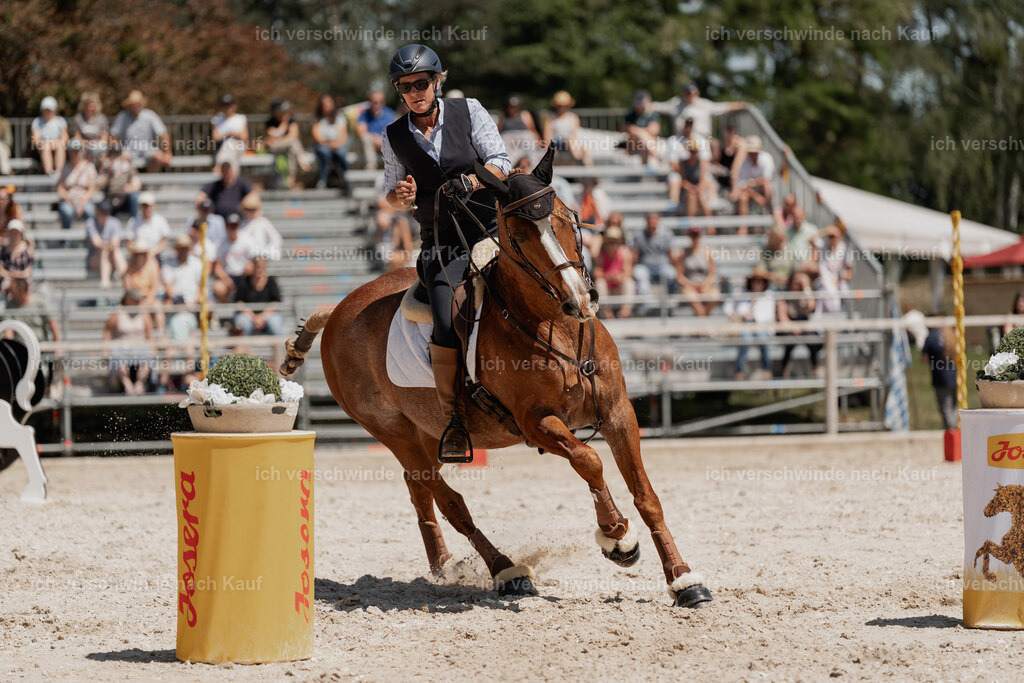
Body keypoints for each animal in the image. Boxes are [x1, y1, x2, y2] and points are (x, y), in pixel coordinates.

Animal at [281, 146, 712, 607]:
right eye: (519, 237)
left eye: (569, 218)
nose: (582, 300)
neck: (554, 324)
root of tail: (339, 309)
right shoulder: (536, 422)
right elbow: (588, 460)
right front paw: (617, 538)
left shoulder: (617, 413)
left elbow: (647, 495)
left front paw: (683, 579)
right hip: (392, 431)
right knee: (449, 501)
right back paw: (507, 571)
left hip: (427, 432)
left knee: (419, 488)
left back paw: (445, 564)